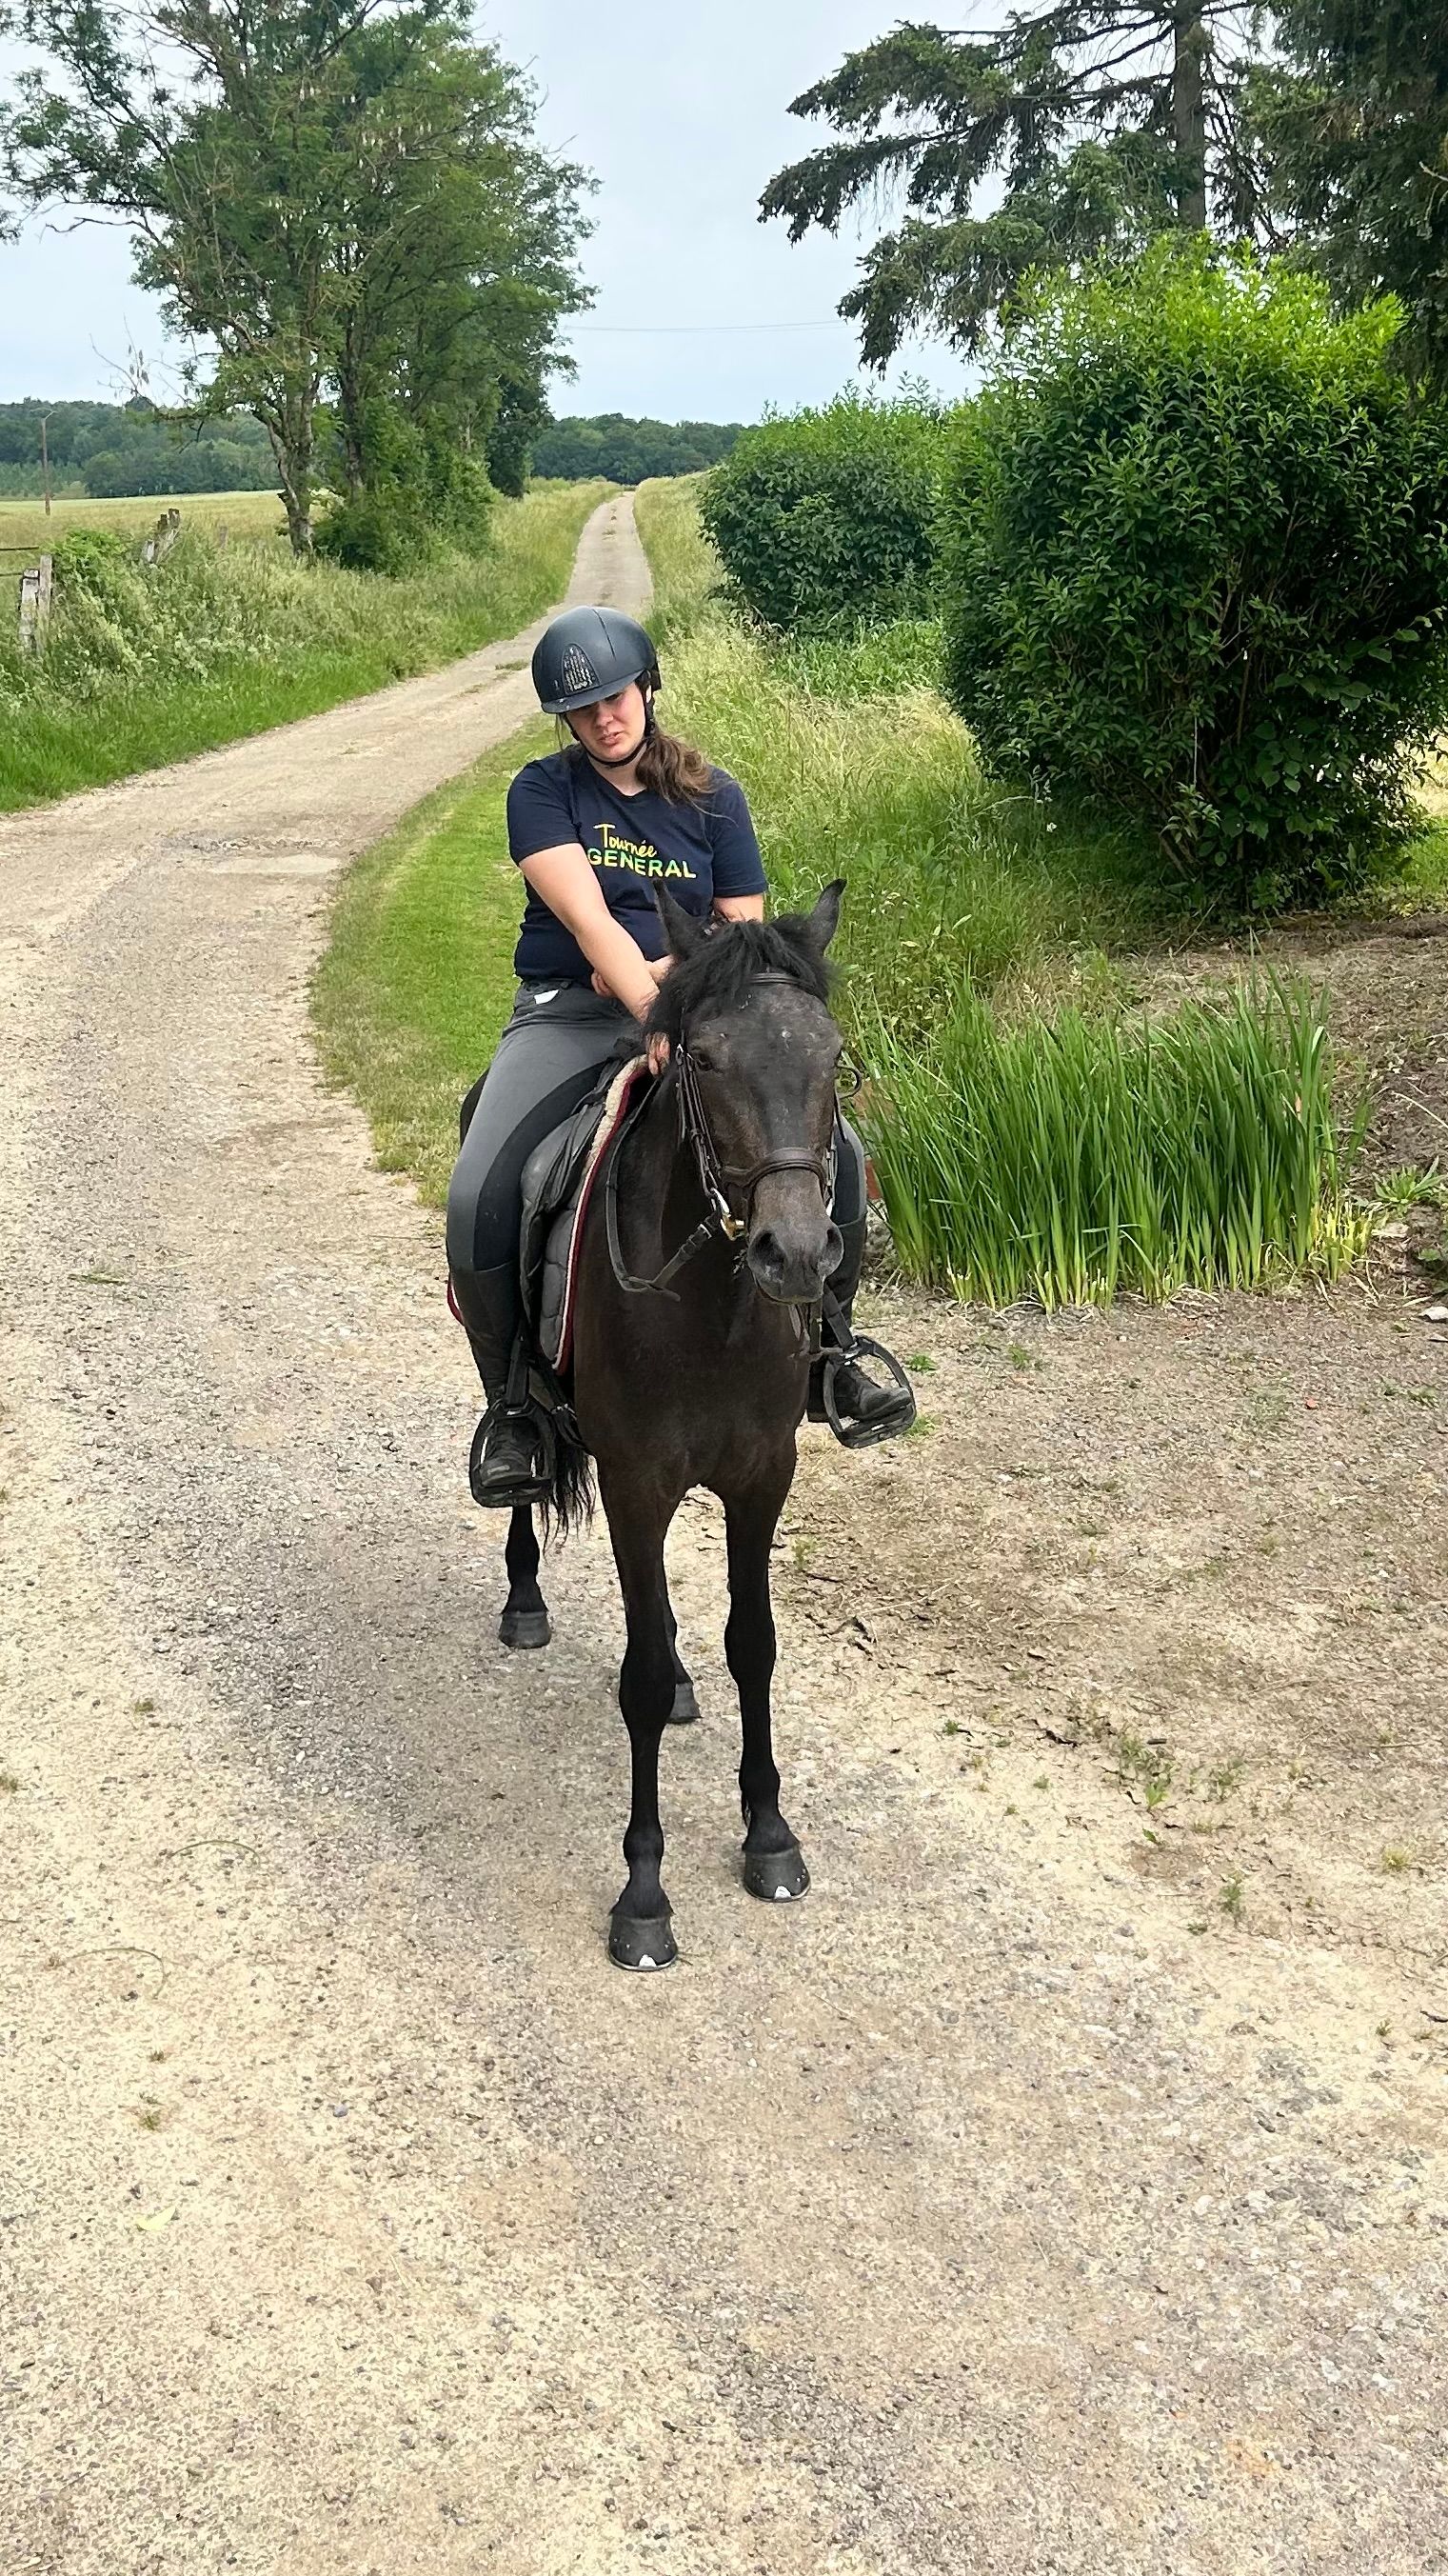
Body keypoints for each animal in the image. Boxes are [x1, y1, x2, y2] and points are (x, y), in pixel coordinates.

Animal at [496, 881, 850, 1970]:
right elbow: (641, 1677)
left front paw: (769, 1836)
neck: (708, 1303)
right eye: (703, 1058)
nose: (794, 1253)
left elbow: (753, 1644)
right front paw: (644, 1895)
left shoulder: (761, 1475)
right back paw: (521, 1592)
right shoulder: (637, 1484)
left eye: (833, 1057)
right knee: (517, 1468)